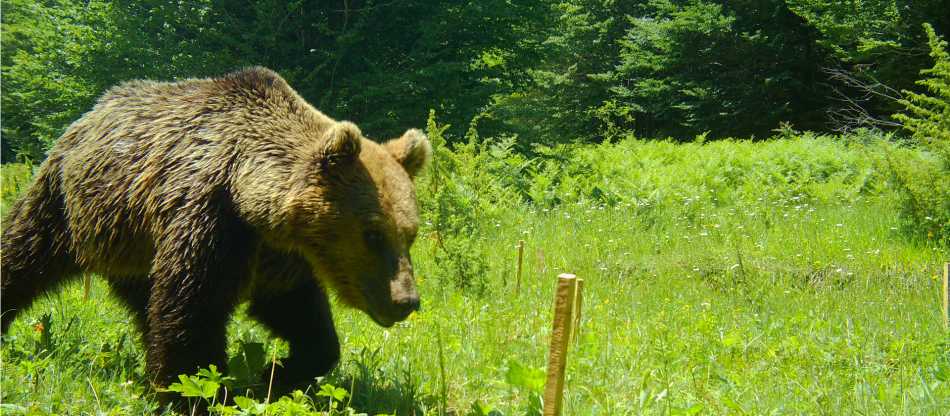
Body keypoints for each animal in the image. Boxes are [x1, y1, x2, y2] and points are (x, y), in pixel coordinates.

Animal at [0, 67, 430, 407]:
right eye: (372, 233)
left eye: (409, 233)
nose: (405, 300)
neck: (251, 197)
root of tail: (92, 111)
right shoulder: (211, 219)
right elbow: (192, 310)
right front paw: (195, 393)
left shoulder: (278, 255)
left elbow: (299, 314)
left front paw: (276, 373)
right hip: (66, 203)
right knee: (24, 254)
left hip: (132, 244)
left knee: (143, 301)